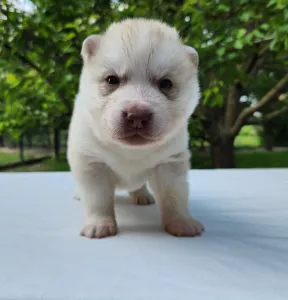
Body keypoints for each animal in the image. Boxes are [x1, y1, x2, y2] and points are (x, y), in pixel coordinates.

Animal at [66, 18, 204, 239]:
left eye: (166, 83)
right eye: (112, 79)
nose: (137, 115)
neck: (131, 152)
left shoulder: (170, 163)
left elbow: (174, 196)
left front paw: (181, 222)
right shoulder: (91, 162)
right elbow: (98, 199)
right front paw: (99, 225)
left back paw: (142, 195)